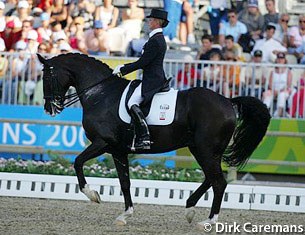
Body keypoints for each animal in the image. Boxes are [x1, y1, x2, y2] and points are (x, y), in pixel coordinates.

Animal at [37, 53, 268, 228]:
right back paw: (190, 208)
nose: (50, 109)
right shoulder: (118, 150)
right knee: (211, 179)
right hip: (202, 149)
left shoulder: (102, 143)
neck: (100, 92)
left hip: (206, 149)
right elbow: (125, 182)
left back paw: (208, 222)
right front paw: (125, 215)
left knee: (218, 182)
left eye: (46, 77)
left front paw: (93, 194)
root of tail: (228, 101)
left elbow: (77, 162)